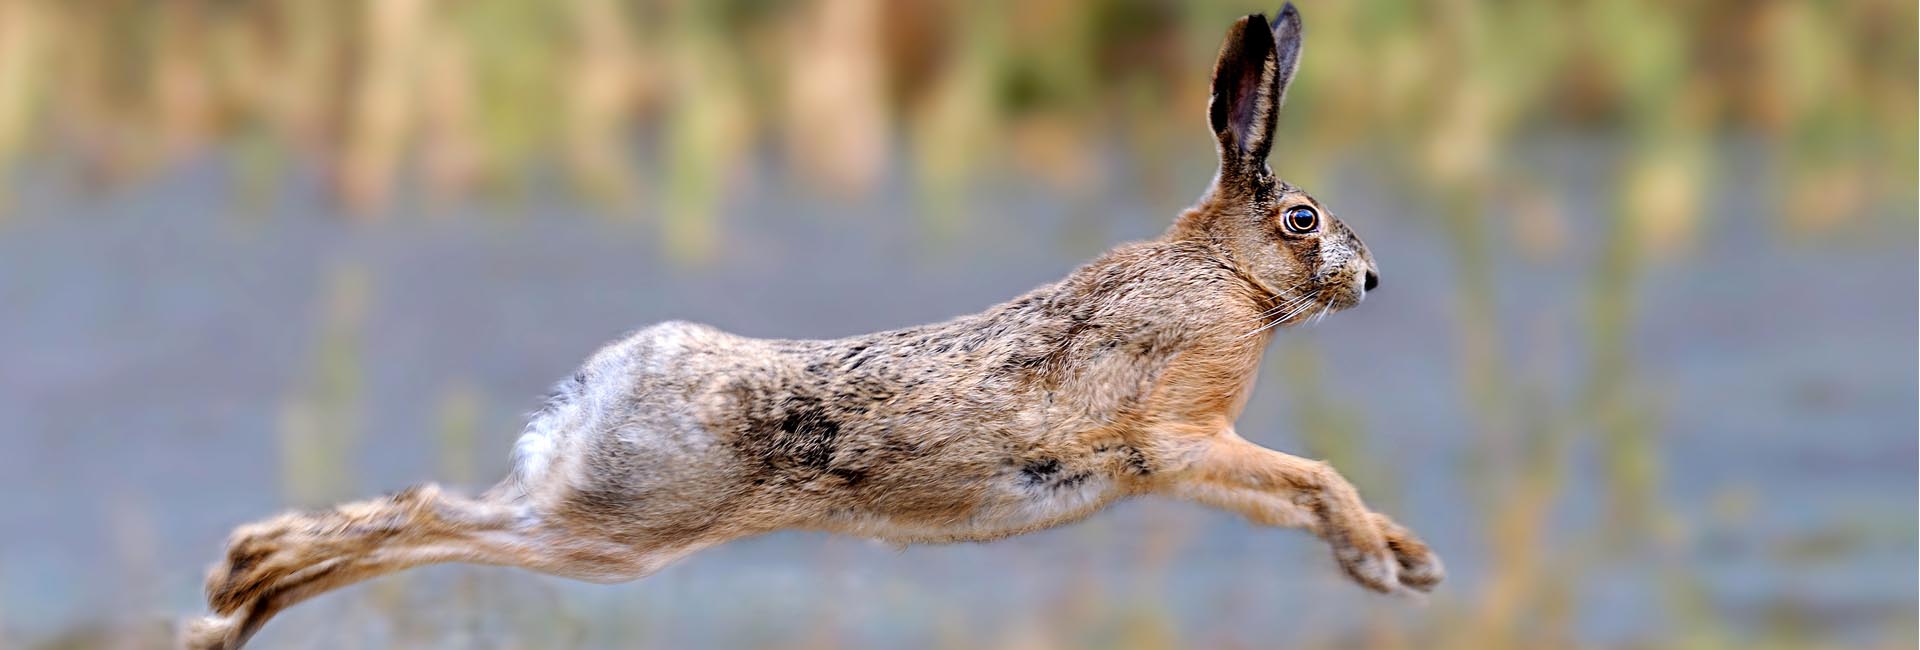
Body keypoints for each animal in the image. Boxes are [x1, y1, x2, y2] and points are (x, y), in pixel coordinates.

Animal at [183, 5, 1440, 648]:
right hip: (615, 529)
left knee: (434, 511)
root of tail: (605, 383)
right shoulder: (1179, 438)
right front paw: (1384, 562)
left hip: (599, 516)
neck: (1221, 272)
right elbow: (1311, 476)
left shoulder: (1182, 457)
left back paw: (242, 593)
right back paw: (236, 595)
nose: (1374, 277)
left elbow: (1299, 488)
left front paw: (1408, 559)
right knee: (439, 516)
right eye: (1302, 218)